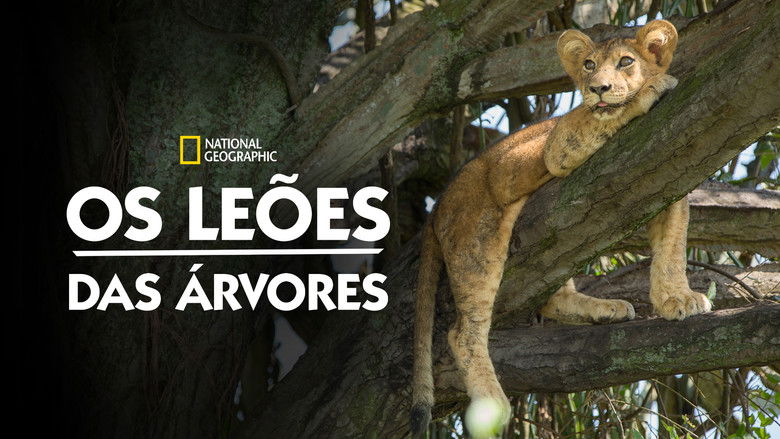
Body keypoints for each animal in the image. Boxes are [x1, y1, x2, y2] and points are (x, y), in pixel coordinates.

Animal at [410, 20, 712, 436]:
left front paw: (676, 299)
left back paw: (604, 308)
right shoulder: (558, 145)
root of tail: (439, 204)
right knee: (464, 332)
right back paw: (493, 406)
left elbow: (672, 245)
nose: (597, 88)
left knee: (553, 295)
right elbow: (602, 117)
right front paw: (651, 89)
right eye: (588, 65)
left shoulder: (670, 179)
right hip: (478, 242)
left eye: (626, 61)